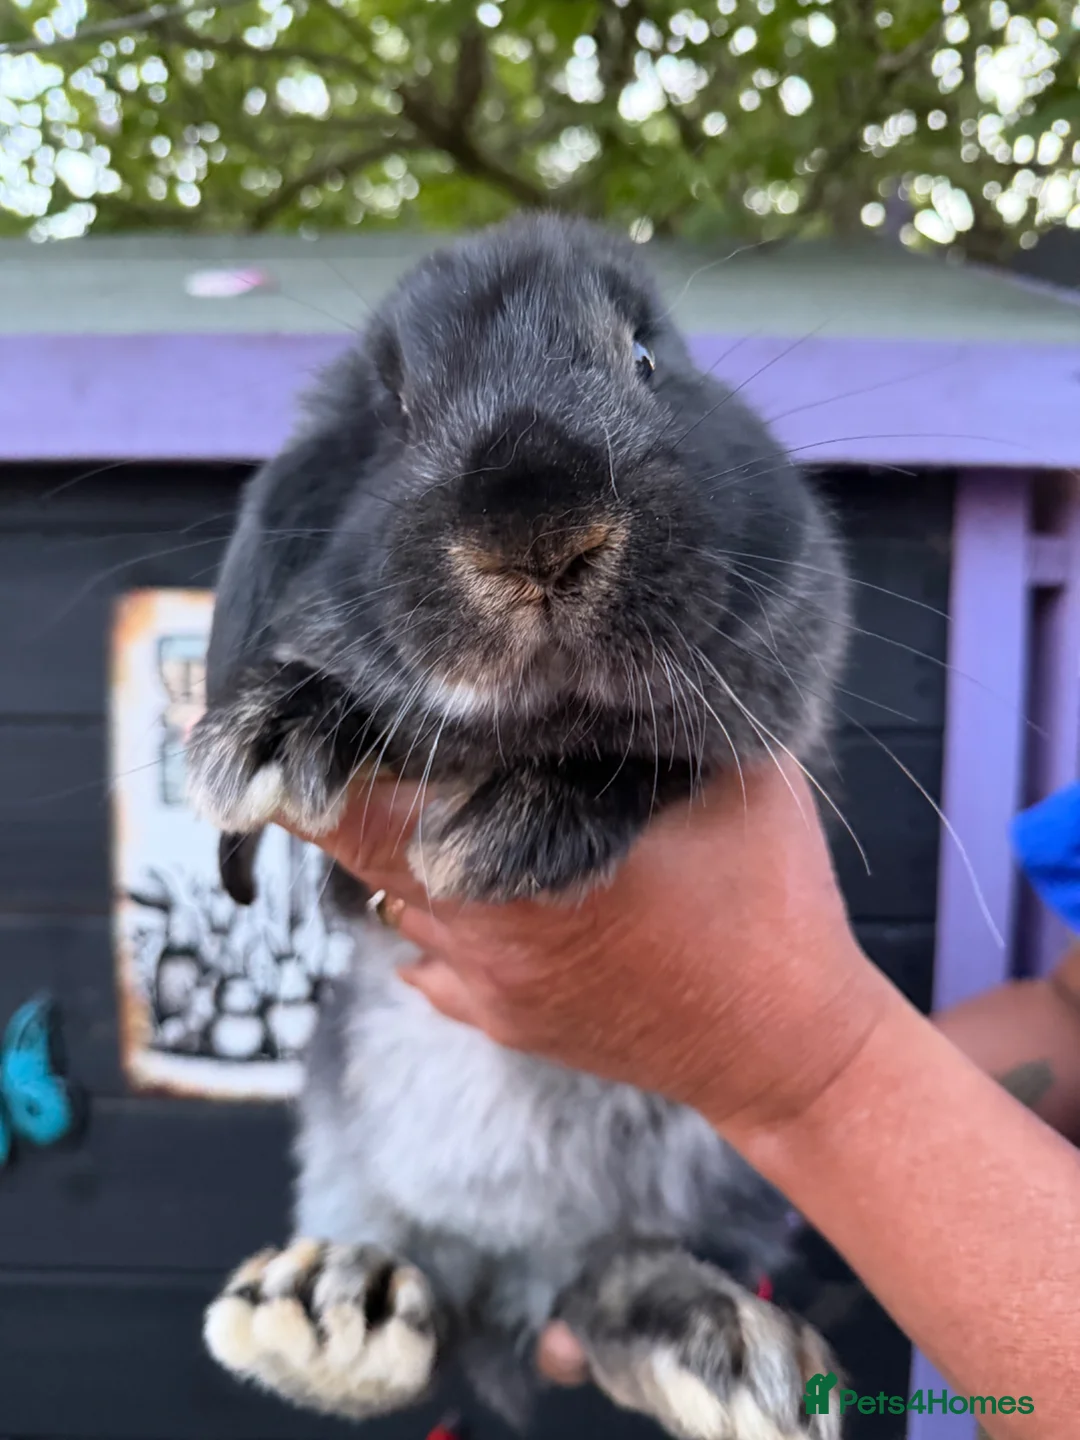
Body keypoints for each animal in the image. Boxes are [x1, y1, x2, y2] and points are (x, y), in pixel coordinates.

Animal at [188, 212, 850, 1440]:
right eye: (395, 410)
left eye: (645, 359)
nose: (536, 529)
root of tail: (510, 1272)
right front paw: (273, 727)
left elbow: (648, 751)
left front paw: (519, 824)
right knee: (424, 1290)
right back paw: (335, 1306)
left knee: (613, 1280)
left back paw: (733, 1352)